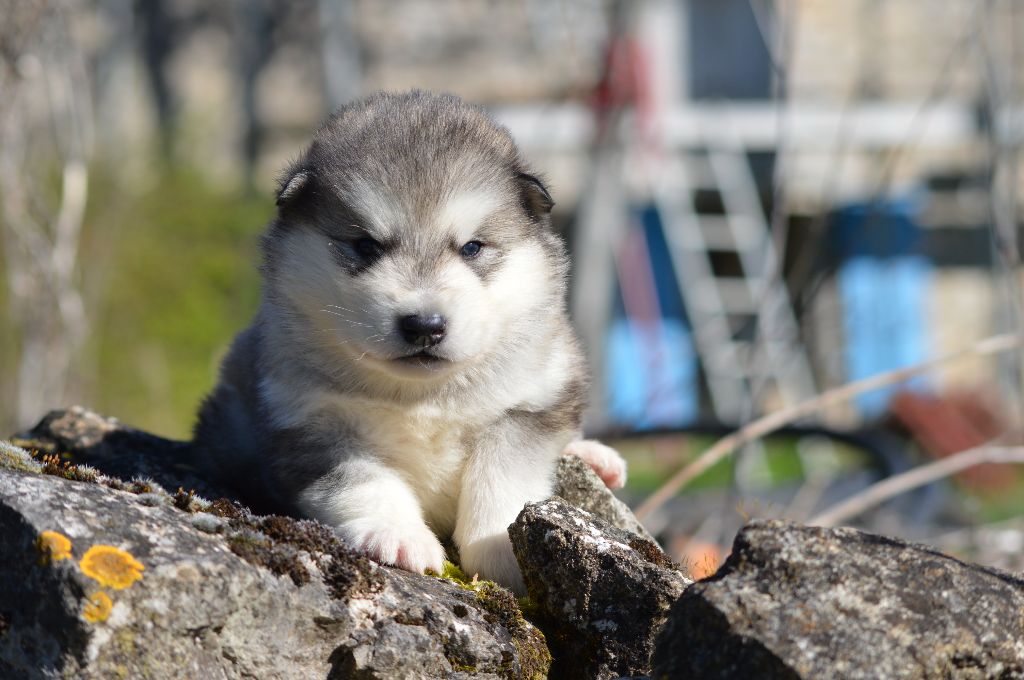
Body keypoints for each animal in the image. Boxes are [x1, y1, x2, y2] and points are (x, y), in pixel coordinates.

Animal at [192, 90, 622, 589]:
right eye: (366, 246)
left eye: (472, 247)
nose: (423, 326)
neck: (422, 396)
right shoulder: (309, 423)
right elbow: (364, 480)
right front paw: (397, 535)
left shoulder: (533, 404)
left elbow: (502, 477)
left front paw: (501, 550)